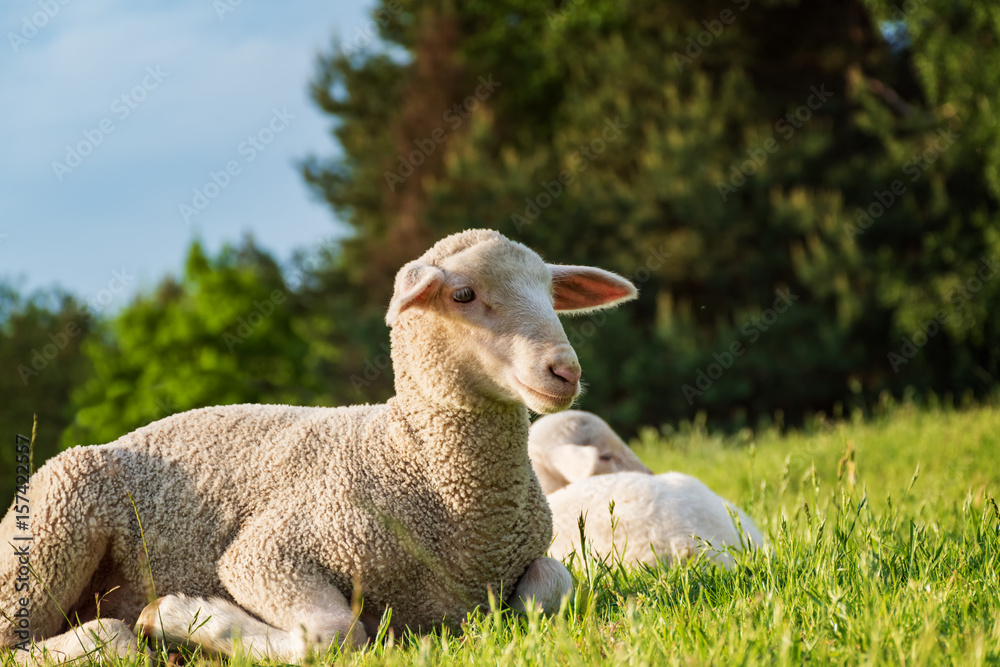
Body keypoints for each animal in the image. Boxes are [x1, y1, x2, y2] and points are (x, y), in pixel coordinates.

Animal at [0, 229, 638, 664]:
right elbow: (335, 635)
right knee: (28, 643)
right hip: (47, 534)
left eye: (551, 292)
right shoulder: (271, 550)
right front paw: (185, 616)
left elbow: (552, 589)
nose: (564, 371)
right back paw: (128, 633)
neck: (415, 459)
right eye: (463, 294)